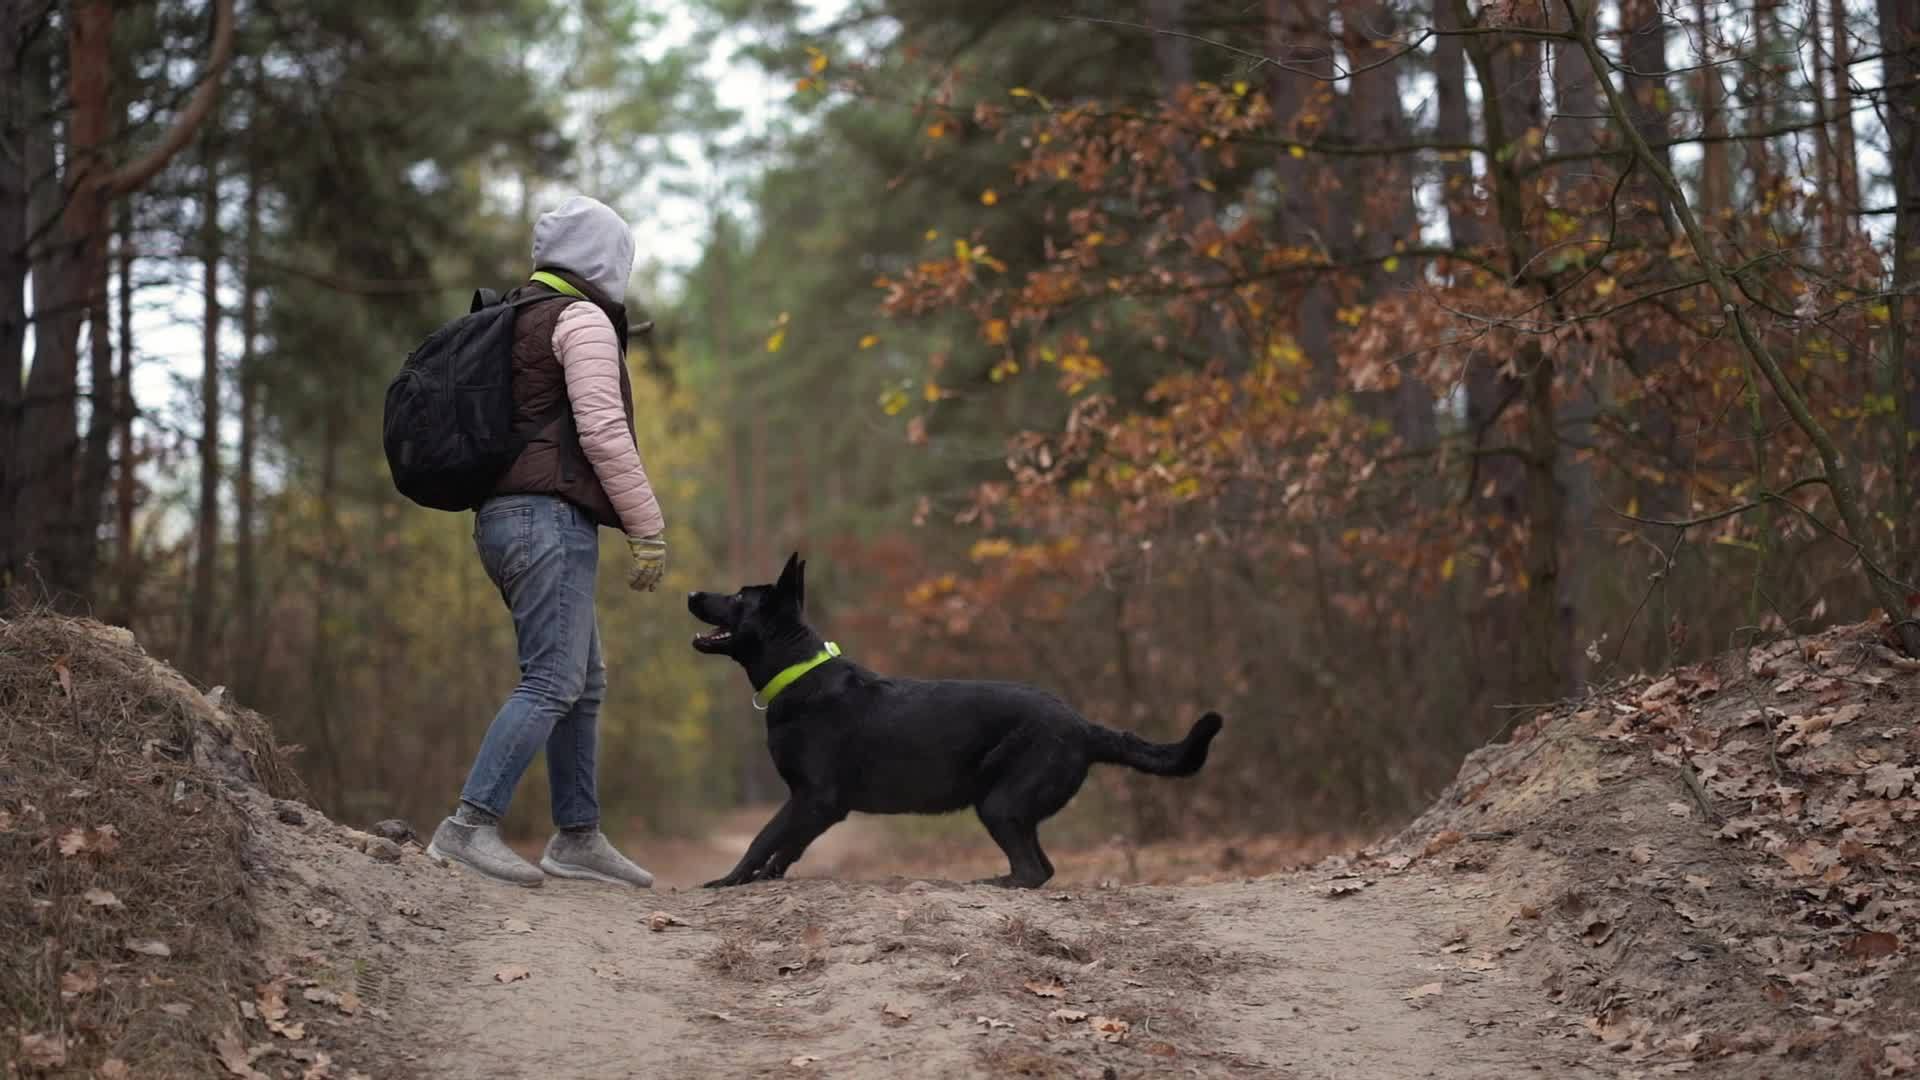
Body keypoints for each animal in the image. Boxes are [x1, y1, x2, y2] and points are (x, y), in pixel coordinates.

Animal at [691, 553, 1221, 883]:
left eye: (737, 598)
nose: (693, 593)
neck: (800, 672)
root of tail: (1084, 726)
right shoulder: (818, 808)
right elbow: (787, 847)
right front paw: (764, 878)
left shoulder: (813, 798)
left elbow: (763, 839)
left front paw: (727, 881)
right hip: (1011, 807)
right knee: (1043, 869)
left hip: (1000, 803)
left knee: (1032, 872)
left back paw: (992, 883)